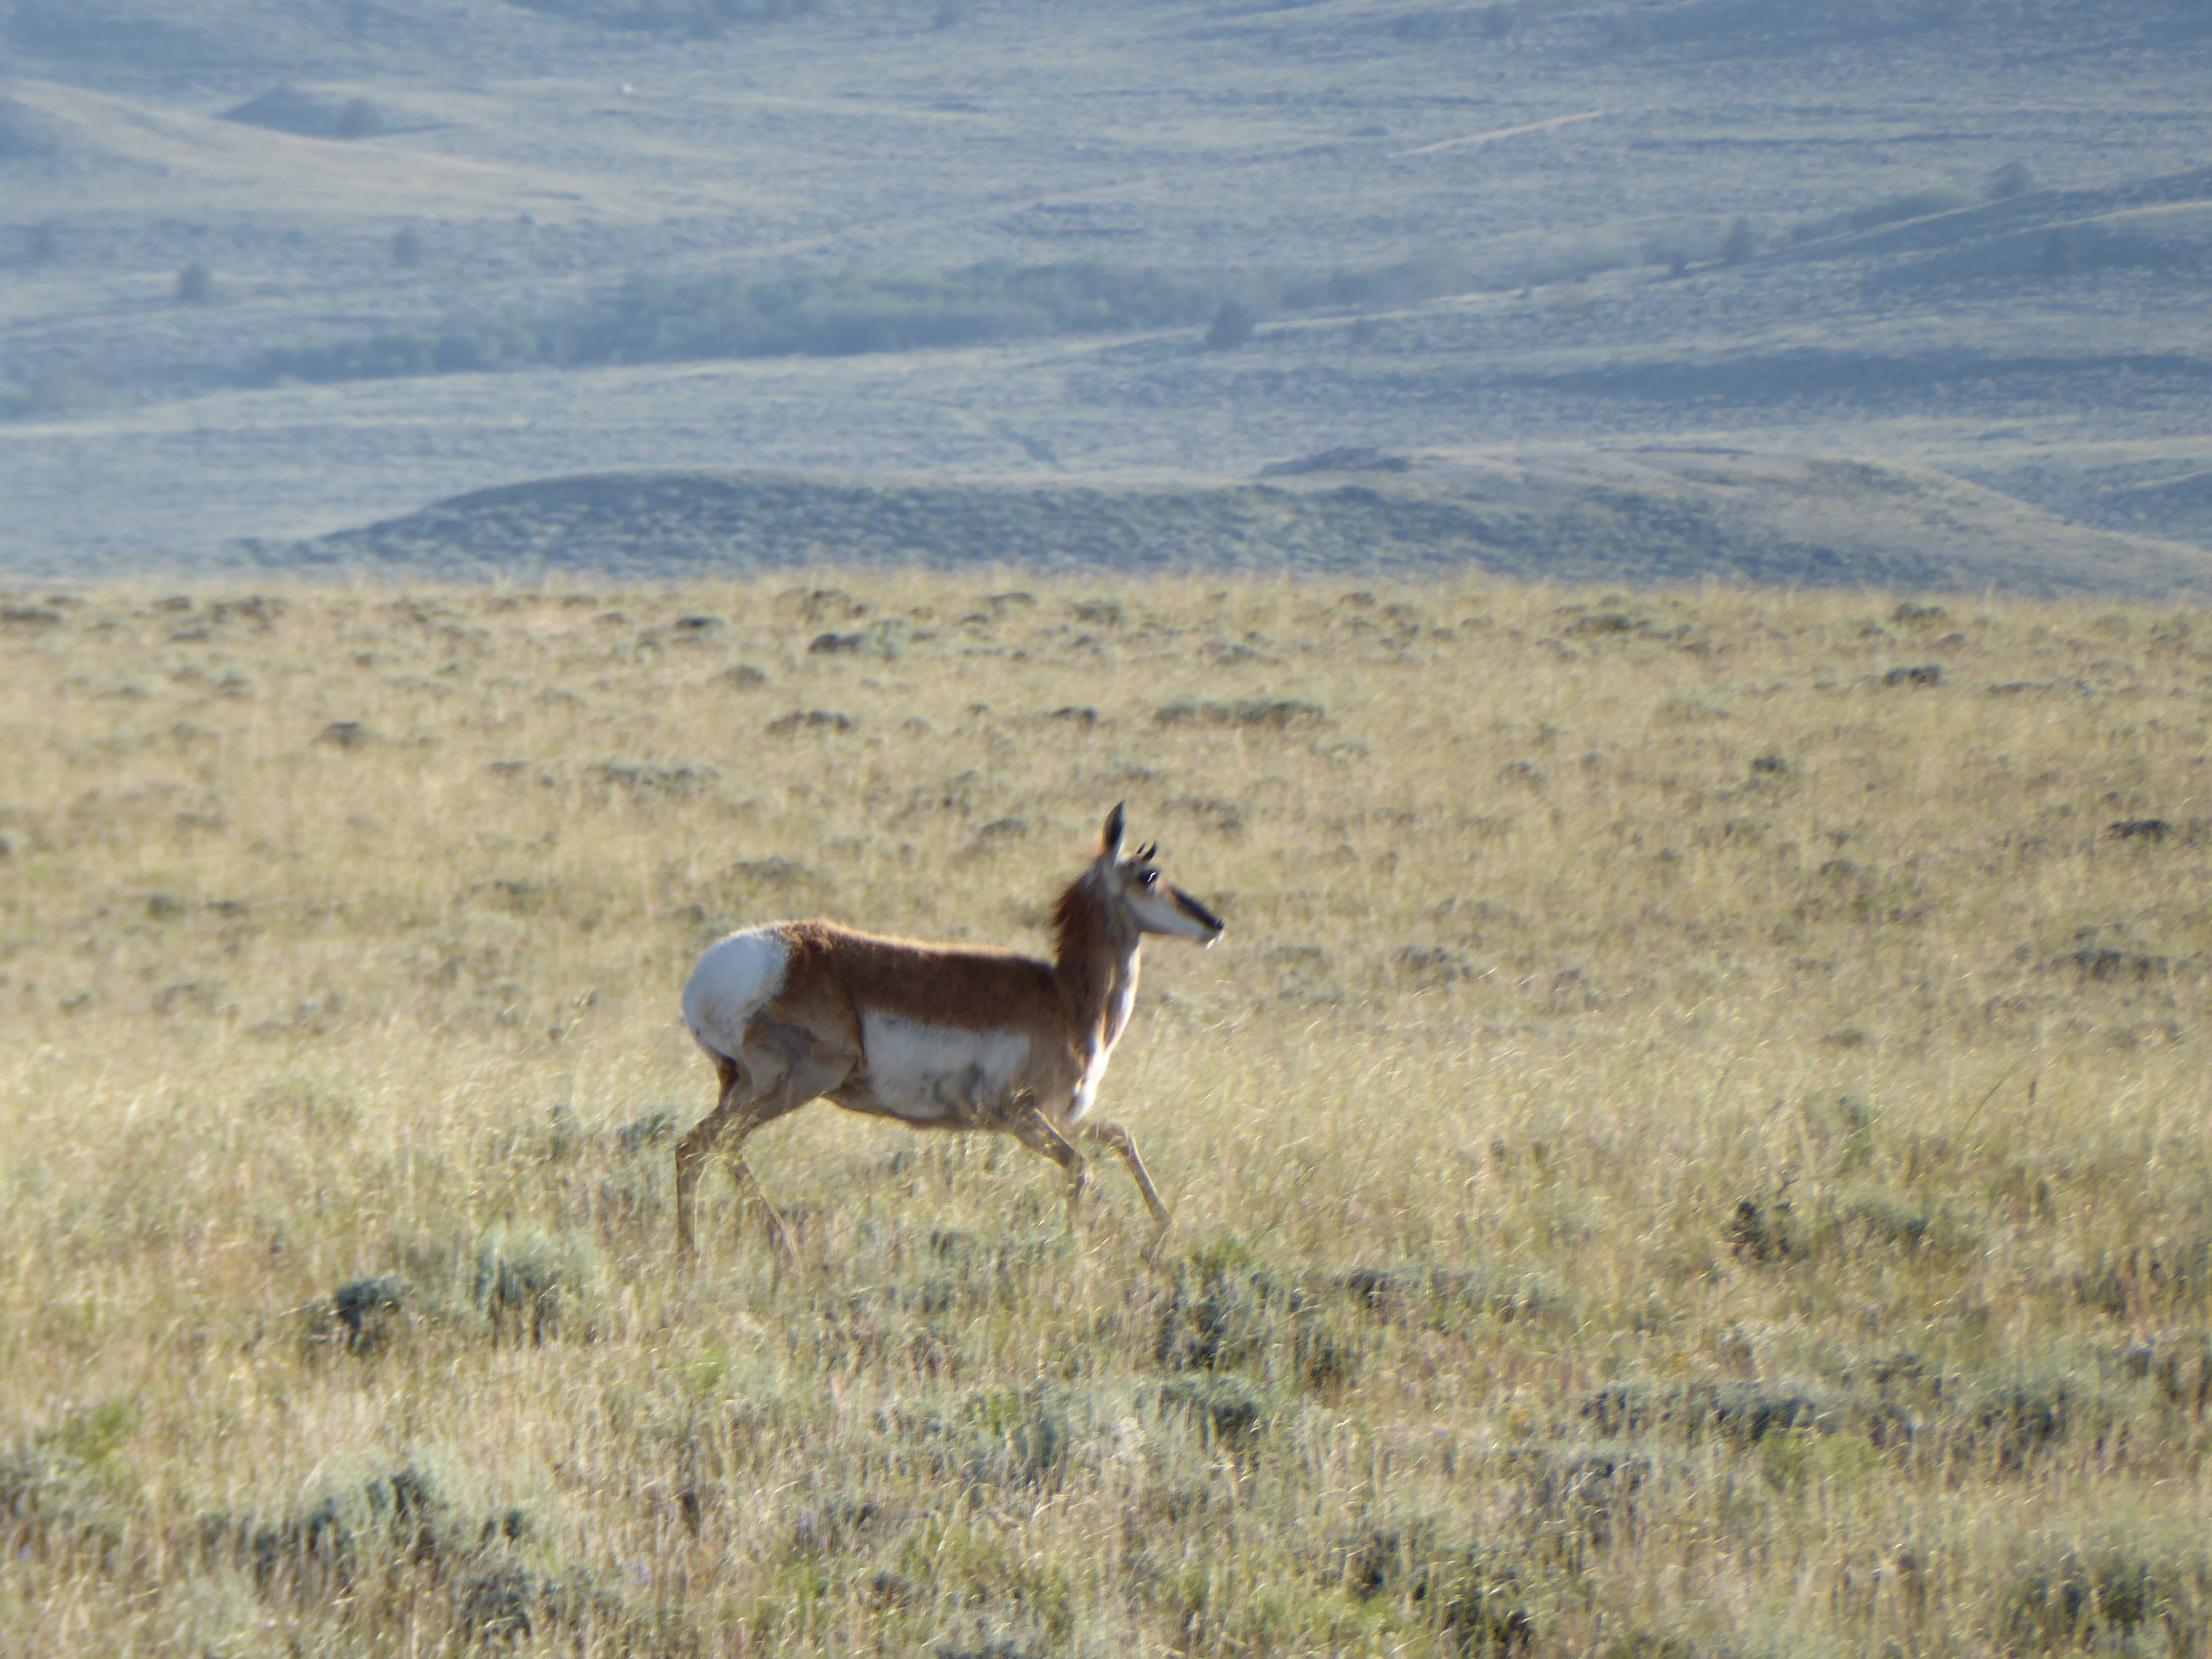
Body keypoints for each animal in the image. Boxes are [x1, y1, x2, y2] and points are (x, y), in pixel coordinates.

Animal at [675, 804, 1225, 1263]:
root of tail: (715, 972)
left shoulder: (1061, 1117)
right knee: (710, 1144)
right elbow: (1081, 1167)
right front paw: (1086, 1250)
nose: (1214, 923)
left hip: (745, 1087)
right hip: (794, 1085)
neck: (1066, 996)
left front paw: (1163, 1228)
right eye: (1149, 874)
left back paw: (697, 1256)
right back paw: (772, 1248)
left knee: (699, 1148)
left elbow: (1120, 1138)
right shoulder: (1022, 1118)